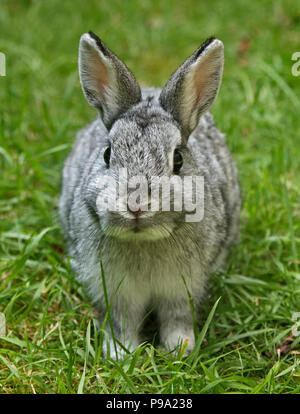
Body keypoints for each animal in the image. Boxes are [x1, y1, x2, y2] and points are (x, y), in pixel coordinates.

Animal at [59, 31, 241, 360]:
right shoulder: (115, 291)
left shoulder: (182, 288)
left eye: (178, 159)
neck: (143, 240)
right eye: (107, 154)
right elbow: (122, 320)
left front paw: (179, 348)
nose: (136, 206)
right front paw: (121, 353)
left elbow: (177, 317)